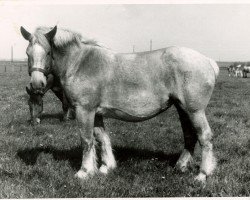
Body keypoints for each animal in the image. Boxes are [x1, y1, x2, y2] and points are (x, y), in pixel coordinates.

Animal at [21, 25, 220, 184]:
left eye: (48, 52)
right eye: (27, 53)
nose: (37, 83)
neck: (80, 63)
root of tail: (208, 61)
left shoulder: (84, 110)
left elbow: (87, 140)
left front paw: (84, 171)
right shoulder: (96, 112)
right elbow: (102, 138)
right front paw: (105, 167)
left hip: (195, 111)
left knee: (205, 137)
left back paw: (203, 174)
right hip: (182, 109)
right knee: (189, 136)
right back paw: (181, 166)